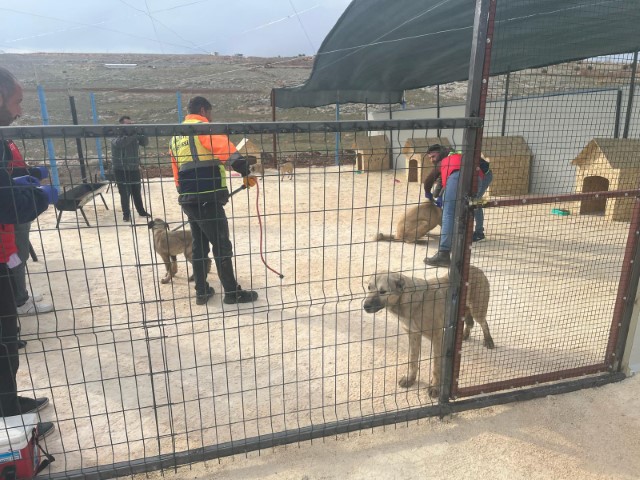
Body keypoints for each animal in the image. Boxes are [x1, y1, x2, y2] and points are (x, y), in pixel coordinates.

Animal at [362, 266, 492, 398]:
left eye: (383, 291)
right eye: (369, 287)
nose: (365, 306)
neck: (408, 303)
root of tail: (476, 268)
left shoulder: (438, 337)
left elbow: (436, 365)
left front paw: (435, 387)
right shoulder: (413, 335)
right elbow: (413, 360)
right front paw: (410, 379)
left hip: (477, 310)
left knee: (484, 323)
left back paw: (488, 340)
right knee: (469, 323)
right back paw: (465, 335)